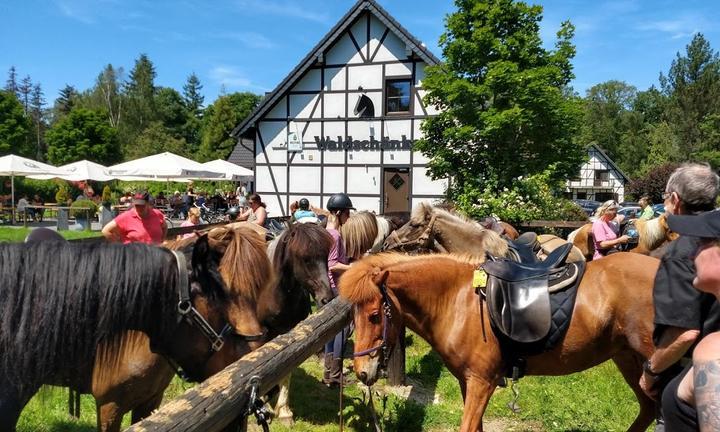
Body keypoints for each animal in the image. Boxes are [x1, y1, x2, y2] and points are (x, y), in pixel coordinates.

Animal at [340, 253, 660, 432]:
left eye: (373, 316)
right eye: (352, 318)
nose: (362, 372)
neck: (457, 301)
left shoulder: (483, 382)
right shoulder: (468, 382)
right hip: (629, 361)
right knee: (648, 409)